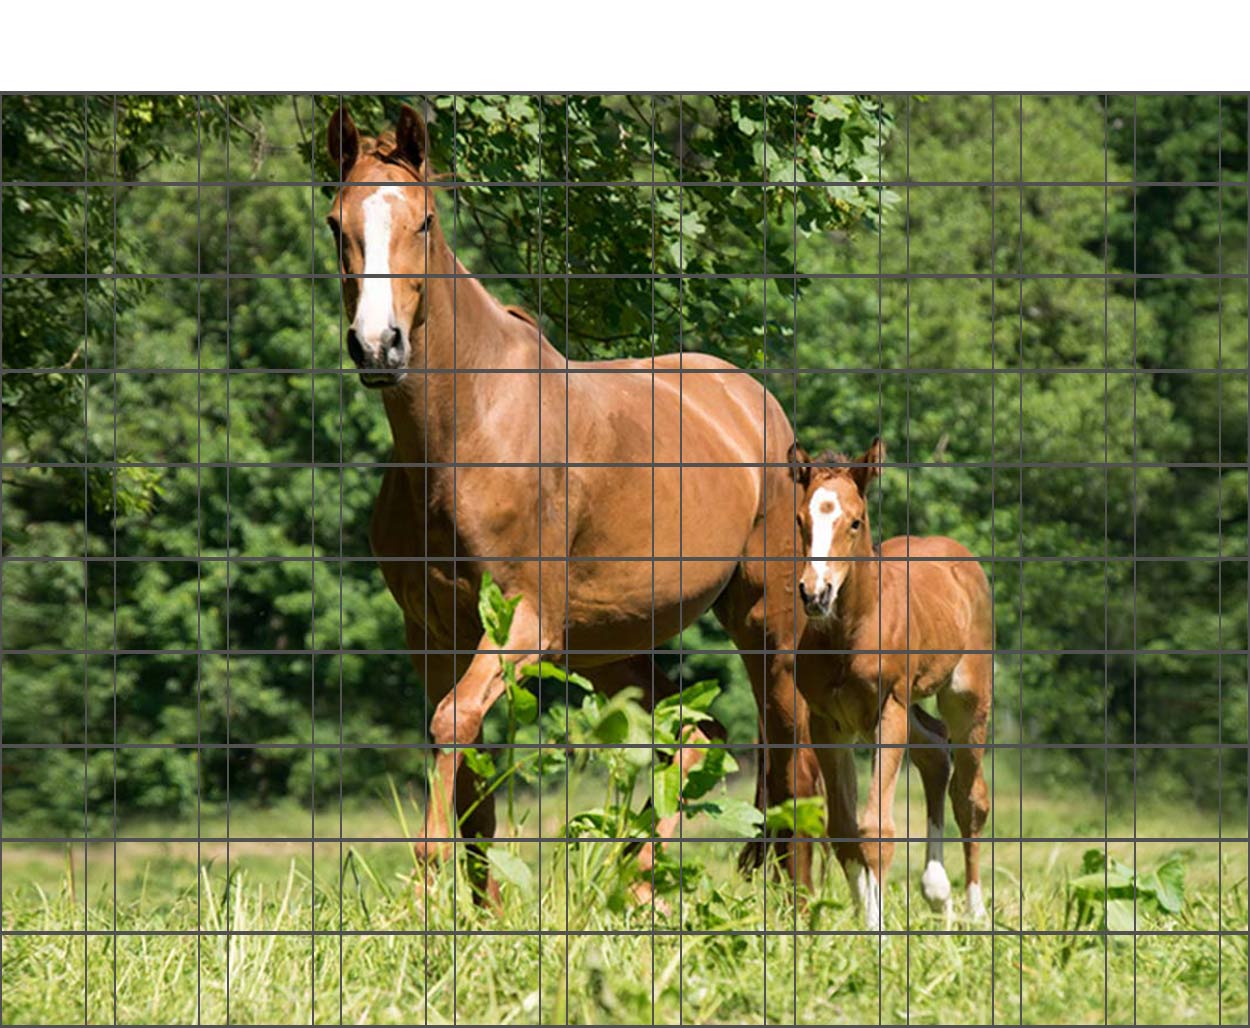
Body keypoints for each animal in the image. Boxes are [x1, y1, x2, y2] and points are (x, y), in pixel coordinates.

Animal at [790, 437, 995, 930]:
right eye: (801, 520)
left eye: (855, 521)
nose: (815, 593)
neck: (849, 632)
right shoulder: (828, 723)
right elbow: (844, 830)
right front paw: (865, 917)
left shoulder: (890, 709)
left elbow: (877, 828)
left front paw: (877, 932)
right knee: (935, 752)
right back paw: (937, 891)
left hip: (966, 698)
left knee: (970, 797)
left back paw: (975, 909)